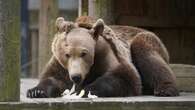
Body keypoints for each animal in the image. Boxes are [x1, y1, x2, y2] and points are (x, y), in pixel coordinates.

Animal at [26, 16, 179, 98]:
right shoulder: (60, 65)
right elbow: (53, 78)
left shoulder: (108, 55)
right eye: (67, 54)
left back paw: (165, 90)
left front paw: (85, 90)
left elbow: (124, 76)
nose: (76, 77)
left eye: (84, 53)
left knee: (148, 56)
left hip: (146, 40)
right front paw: (36, 91)